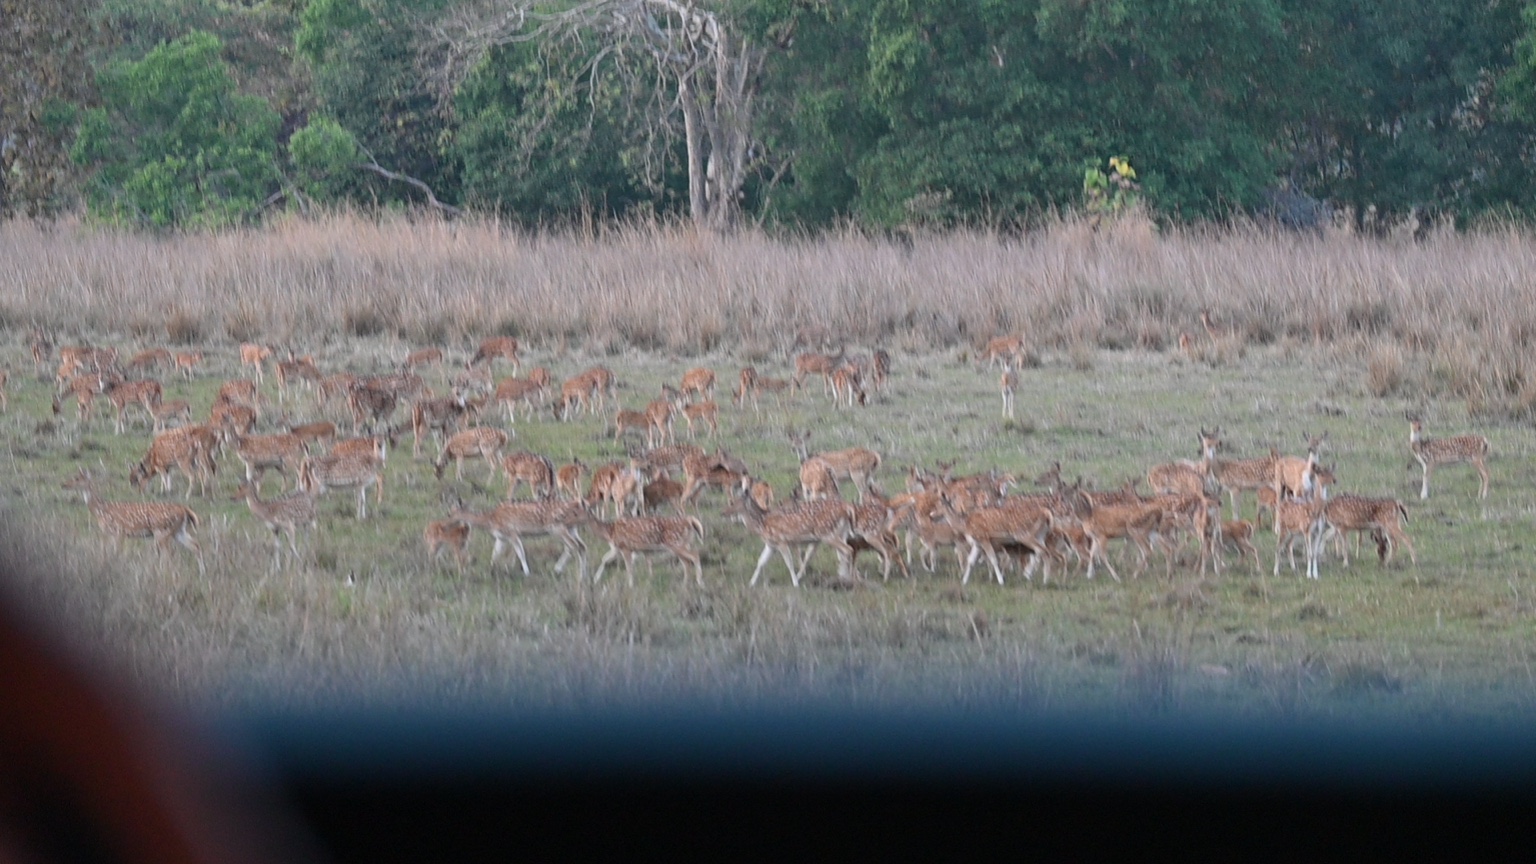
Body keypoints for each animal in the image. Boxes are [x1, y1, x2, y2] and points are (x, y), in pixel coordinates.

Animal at [63, 470, 204, 574]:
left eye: (77, 478)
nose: (64, 484)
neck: (101, 511)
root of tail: (185, 510)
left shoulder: (119, 530)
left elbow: (117, 552)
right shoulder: (112, 533)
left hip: (162, 531)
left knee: (168, 554)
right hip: (178, 530)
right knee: (195, 545)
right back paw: (202, 574)